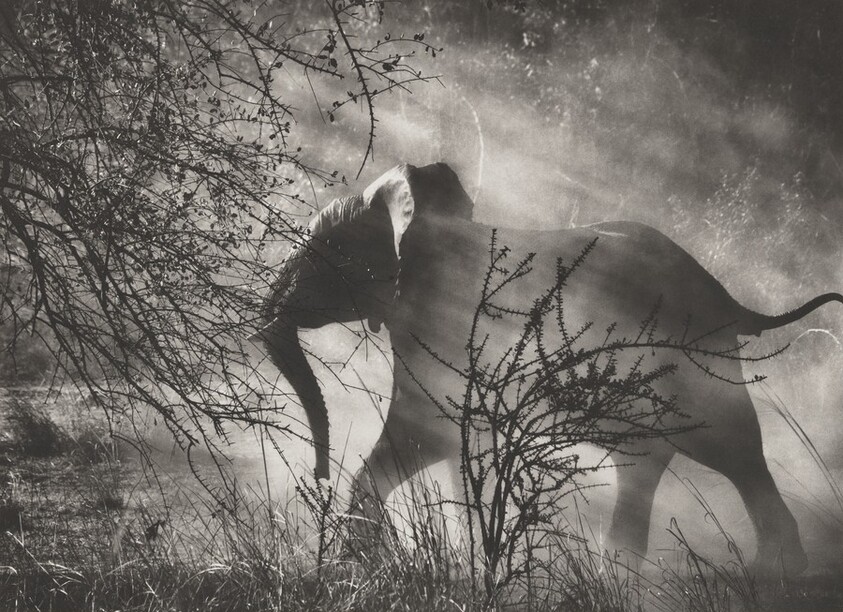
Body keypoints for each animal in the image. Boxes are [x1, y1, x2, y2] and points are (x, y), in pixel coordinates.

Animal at [258, 162, 842, 575]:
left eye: (324, 250)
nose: (316, 474)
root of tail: (730, 300)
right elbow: (443, 445)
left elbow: (434, 435)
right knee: (648, 462)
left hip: (696, 358)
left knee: (732, 447)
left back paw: (776, 574)